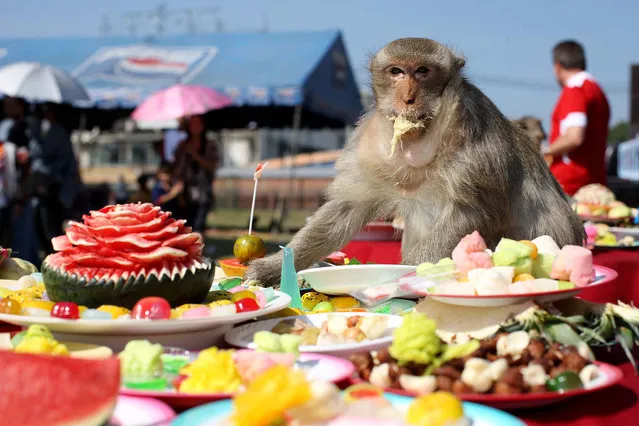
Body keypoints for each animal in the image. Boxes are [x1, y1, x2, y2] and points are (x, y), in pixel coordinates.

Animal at [248, 38, 588, 288]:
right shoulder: (369, 146)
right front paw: (272, 268)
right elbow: (345, 209)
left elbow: (470, 212)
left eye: (423, 71)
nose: (408, 97)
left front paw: (402, 276)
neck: (419, 135)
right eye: (397, 71)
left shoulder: (473, 132)